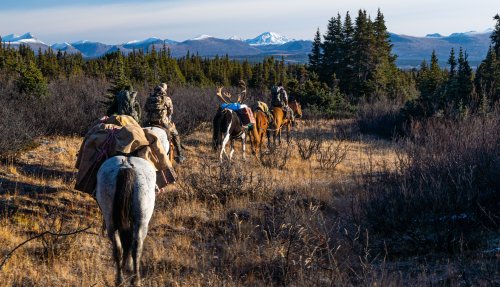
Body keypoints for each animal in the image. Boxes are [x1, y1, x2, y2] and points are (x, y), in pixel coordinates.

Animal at [95, 127, 170, 286]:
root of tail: (126, 167)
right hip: (142, 219)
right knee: (137, 245)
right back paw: (136, 279)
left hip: (110, 219)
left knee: (117, 247)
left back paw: (119, 279)